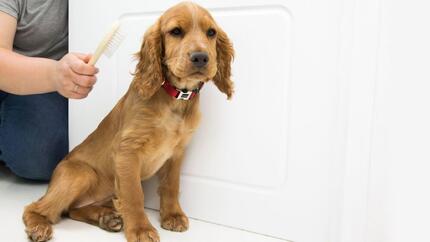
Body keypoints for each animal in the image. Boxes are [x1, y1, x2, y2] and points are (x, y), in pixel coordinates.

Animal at [22, 2, 233, 242]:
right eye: (176, 31)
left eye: (211, 33)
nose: (201, 58)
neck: (176, 97)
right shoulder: (127, 151)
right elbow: (134, 194)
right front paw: (141, 229)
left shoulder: (176, 152)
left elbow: (171, 184)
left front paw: (172, 215)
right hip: (80, 174)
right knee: (37, 207)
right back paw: (39, 226)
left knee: (73, 209)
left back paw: (106, 218)